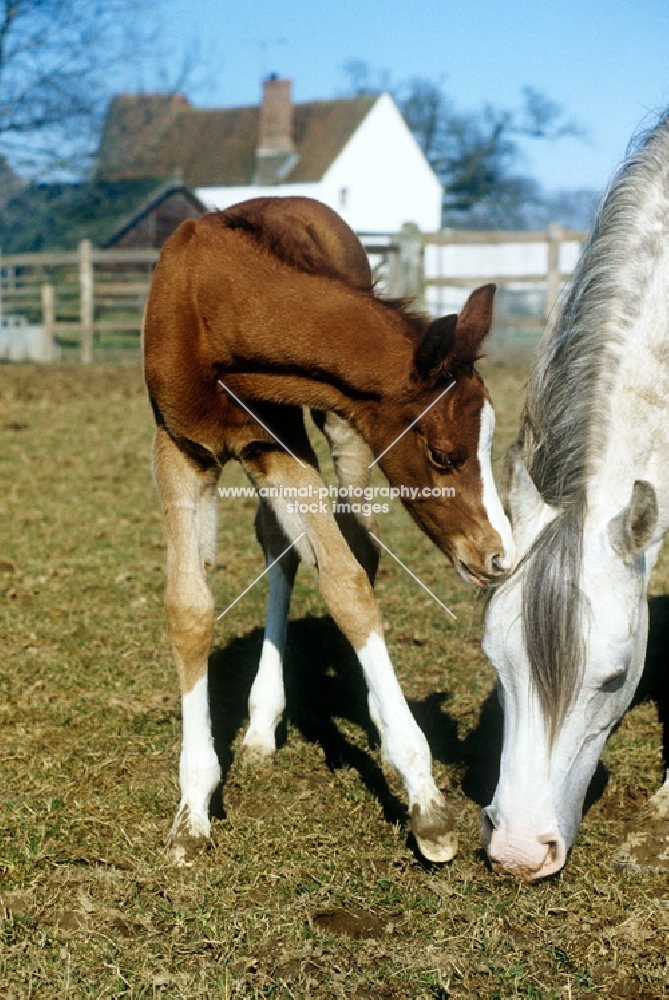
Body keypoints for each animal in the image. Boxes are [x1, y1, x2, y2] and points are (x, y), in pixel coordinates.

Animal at [146, 199, 512, 864]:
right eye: (444, 455)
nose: (499, 557)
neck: (212, 306)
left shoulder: (277, 442)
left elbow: (346, 584)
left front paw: (424, 799)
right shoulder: (182, 451)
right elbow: (189, 608)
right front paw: (191, 811)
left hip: (339, 431)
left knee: (356, 546)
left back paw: (371, 713)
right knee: (282, 547)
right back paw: (262, 726)